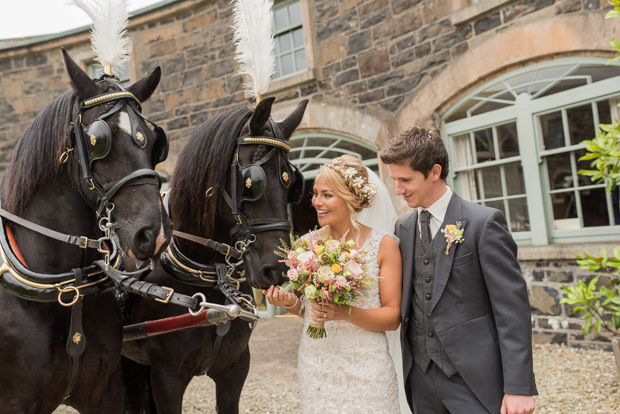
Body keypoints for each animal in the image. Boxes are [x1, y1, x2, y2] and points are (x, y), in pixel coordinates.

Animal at [0, 50, 172, 412]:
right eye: (99, 140)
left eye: (154, 141)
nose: (155, 233)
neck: (69, 285)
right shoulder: (15, 401)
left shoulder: (104, 393)